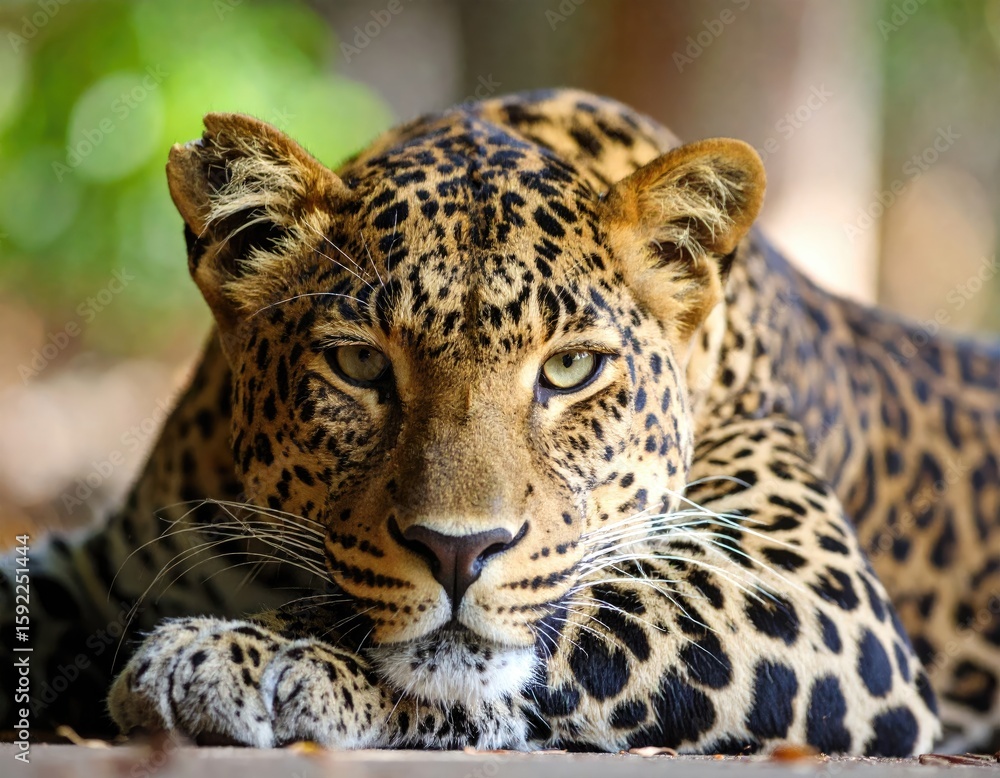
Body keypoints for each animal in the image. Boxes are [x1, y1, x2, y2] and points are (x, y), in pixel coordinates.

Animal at [2, 88, 999, 757]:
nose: (458, 551)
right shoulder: (108, 559)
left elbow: (595, 611)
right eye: (359, 365)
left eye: (570, 370)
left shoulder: (811, 590)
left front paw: (243, 655)